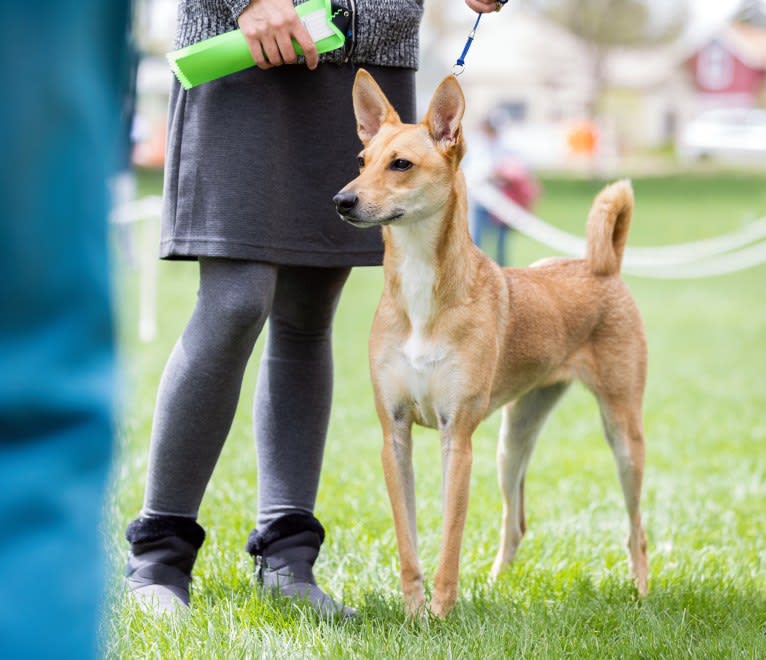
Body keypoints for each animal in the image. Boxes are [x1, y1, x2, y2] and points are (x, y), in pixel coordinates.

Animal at [334, 71, 648, 620]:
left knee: (637, 531)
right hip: (513, 438)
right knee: (516, 521)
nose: (341, 201)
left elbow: (449, 541)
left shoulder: (456, 438)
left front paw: (440, 616)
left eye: (401, 164)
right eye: (361, 159)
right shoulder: (394, 434)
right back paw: (499, 583)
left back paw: (644, 593)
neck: (422, 291)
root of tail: (599, 266)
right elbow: (409, 543)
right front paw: (413, 614)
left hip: (622, 434)